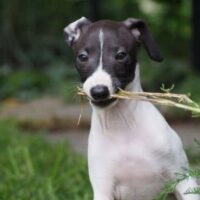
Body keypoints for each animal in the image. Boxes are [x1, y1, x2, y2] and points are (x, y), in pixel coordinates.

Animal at [63, 17, 198, 200]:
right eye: (82, 56)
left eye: (121, 55)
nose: (99, 91)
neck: (122, 126)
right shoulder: (103, 188)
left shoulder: (184, 181)